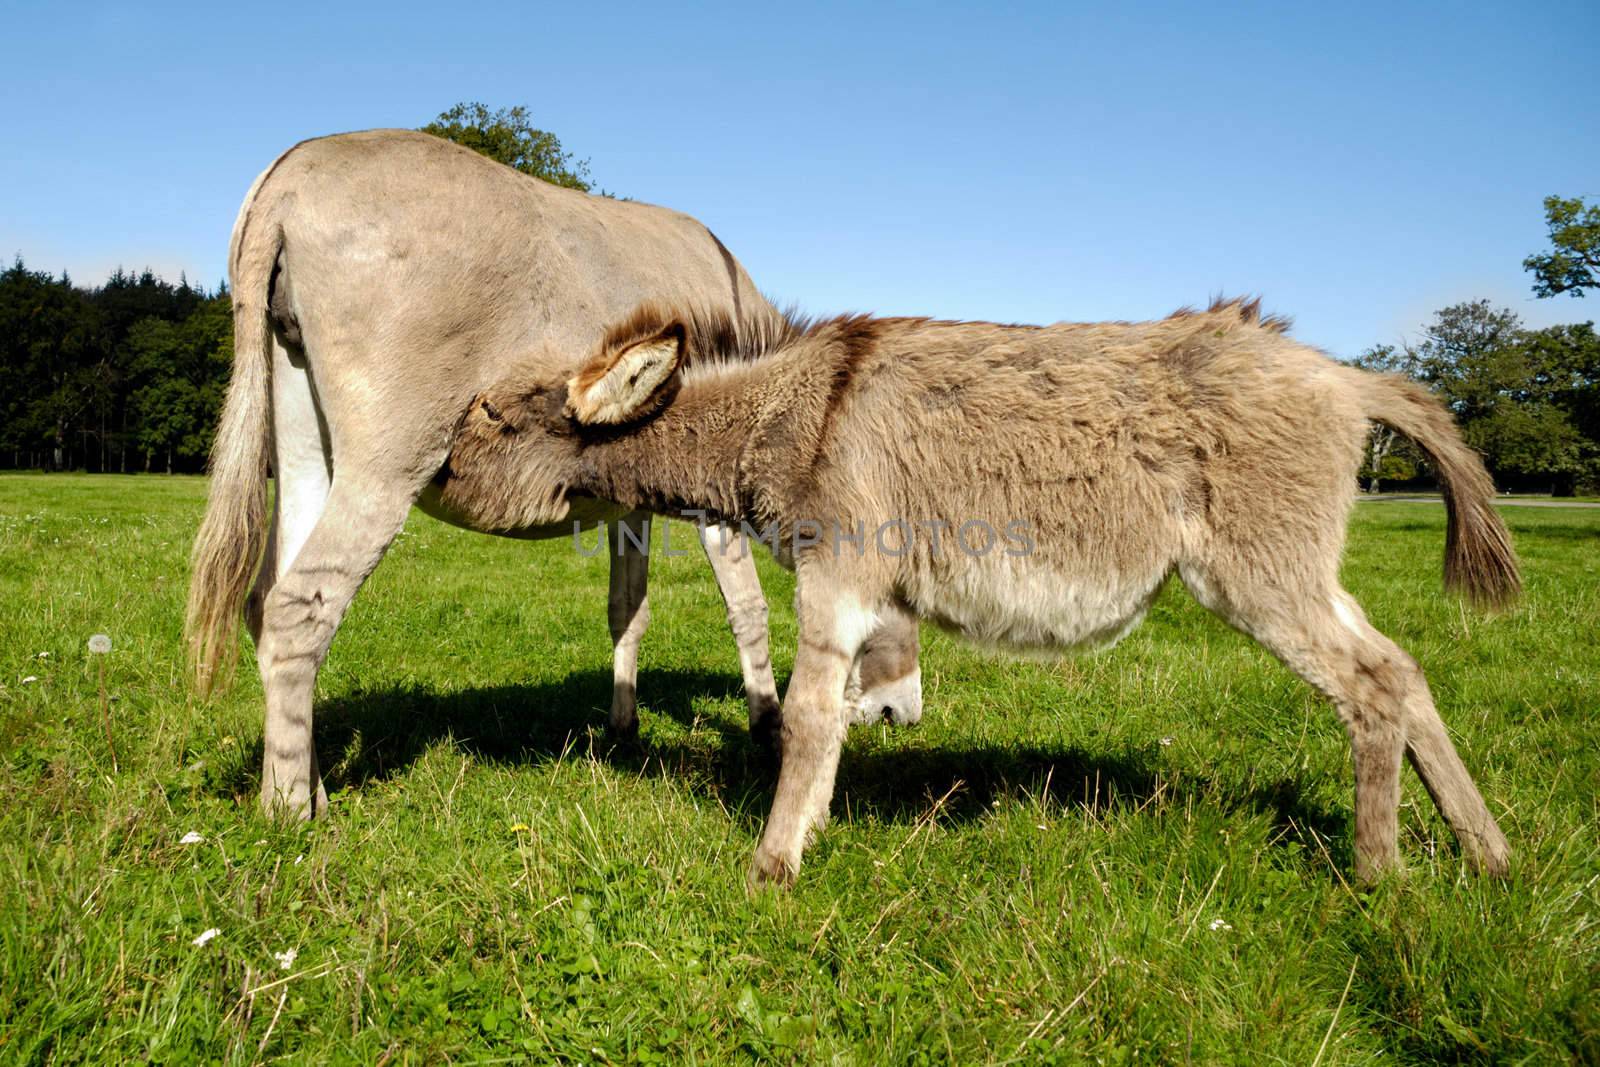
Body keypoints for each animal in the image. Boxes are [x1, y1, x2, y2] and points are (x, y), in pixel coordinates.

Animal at [444, 299, 1516, 883]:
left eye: (492, 416)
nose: (433, 473)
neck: (794, 411)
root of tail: (1345, 375)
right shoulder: (860, 592)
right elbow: (838, 712)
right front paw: (813, 830)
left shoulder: (838, 572)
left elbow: (808, 715)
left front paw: (771, 867)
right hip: (1299, 572)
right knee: (1402, 669)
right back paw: (1486, 855)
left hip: (1259, 577)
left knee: (1371, 686)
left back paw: (1378, 877)